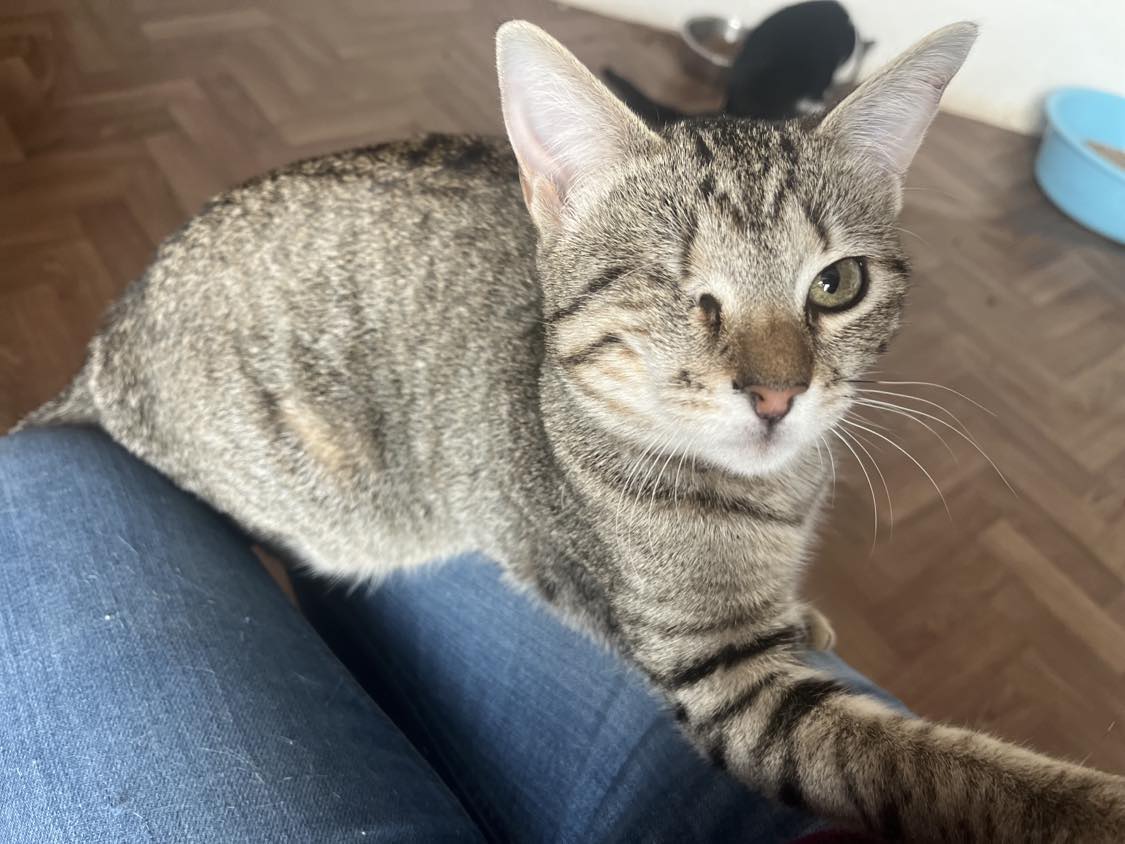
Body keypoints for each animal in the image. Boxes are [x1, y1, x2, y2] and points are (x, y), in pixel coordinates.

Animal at [18, 19, 1125, 841]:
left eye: (836, 284)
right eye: (682, 292)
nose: (776, 393)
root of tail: (102, 351)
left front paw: (806, 613)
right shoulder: (725, 679)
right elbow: (943, 769)